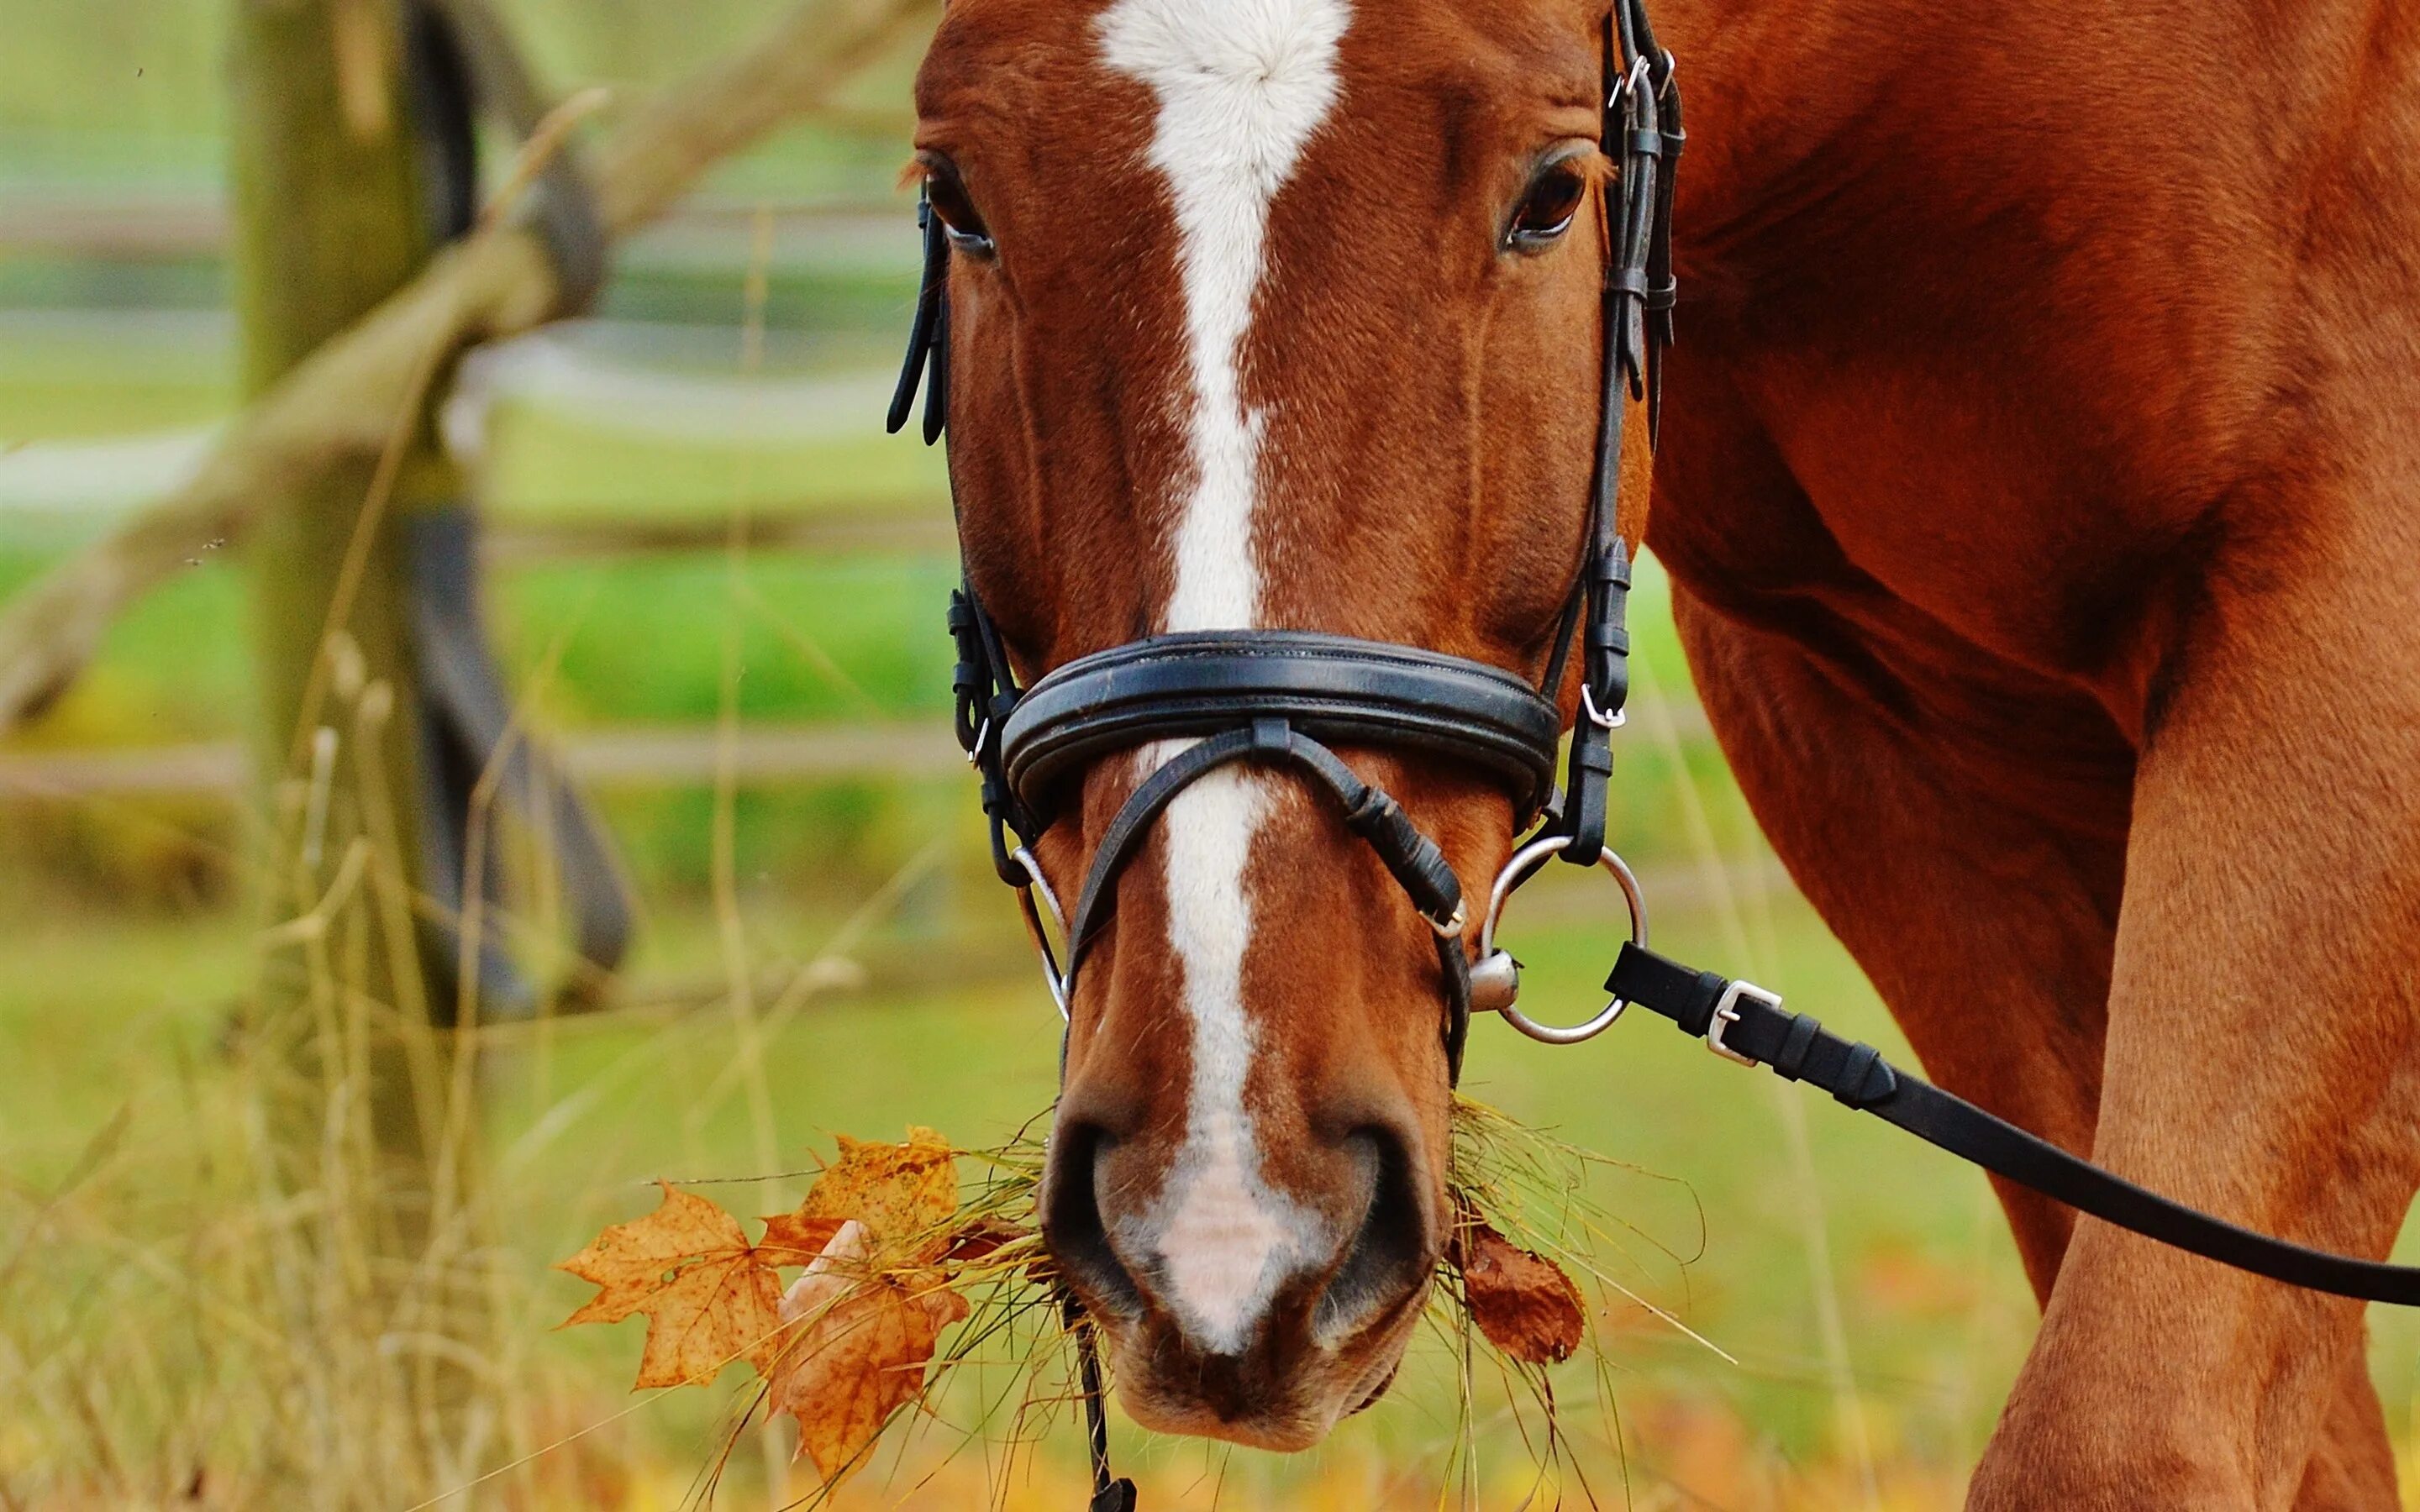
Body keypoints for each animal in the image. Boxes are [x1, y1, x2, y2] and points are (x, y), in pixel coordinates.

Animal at [900, 0, 2420, 1499]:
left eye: (1554, 195)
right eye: (959, 202)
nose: (1228, 1214)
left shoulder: (2344, 618)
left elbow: (2120, 1443)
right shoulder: (1868, 731)